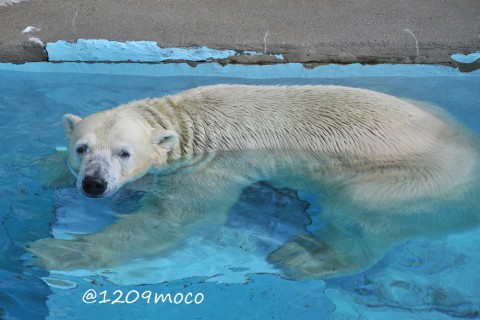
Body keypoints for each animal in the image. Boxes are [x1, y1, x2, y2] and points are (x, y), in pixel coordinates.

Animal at [30, 84, 480, 278]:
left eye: (124, 152)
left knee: (362, 214)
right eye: (82, 148)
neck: (187, 122)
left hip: (414, 179)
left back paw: (305, 256)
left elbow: (173, 219)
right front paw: (43, 170)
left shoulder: (210, 168)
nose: (94, 184)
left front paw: (60, 252)